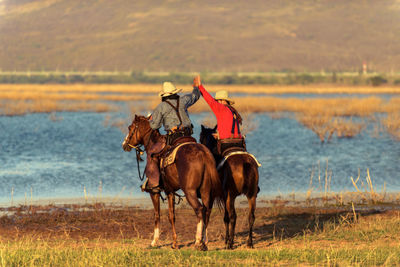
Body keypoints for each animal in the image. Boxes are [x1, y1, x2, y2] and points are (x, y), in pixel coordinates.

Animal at [122, 115, 223, 251]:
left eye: (130, 128)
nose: (124, 144)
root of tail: (203, 154)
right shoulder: (170, 191)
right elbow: (172, 216)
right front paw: (174, 243)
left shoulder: (154, 192)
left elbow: (157, 215)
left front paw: (154, 242)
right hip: (206, 191)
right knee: (207, 210)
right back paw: (204, 242)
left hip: (190, 192)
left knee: (199, 209)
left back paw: (198, 242)